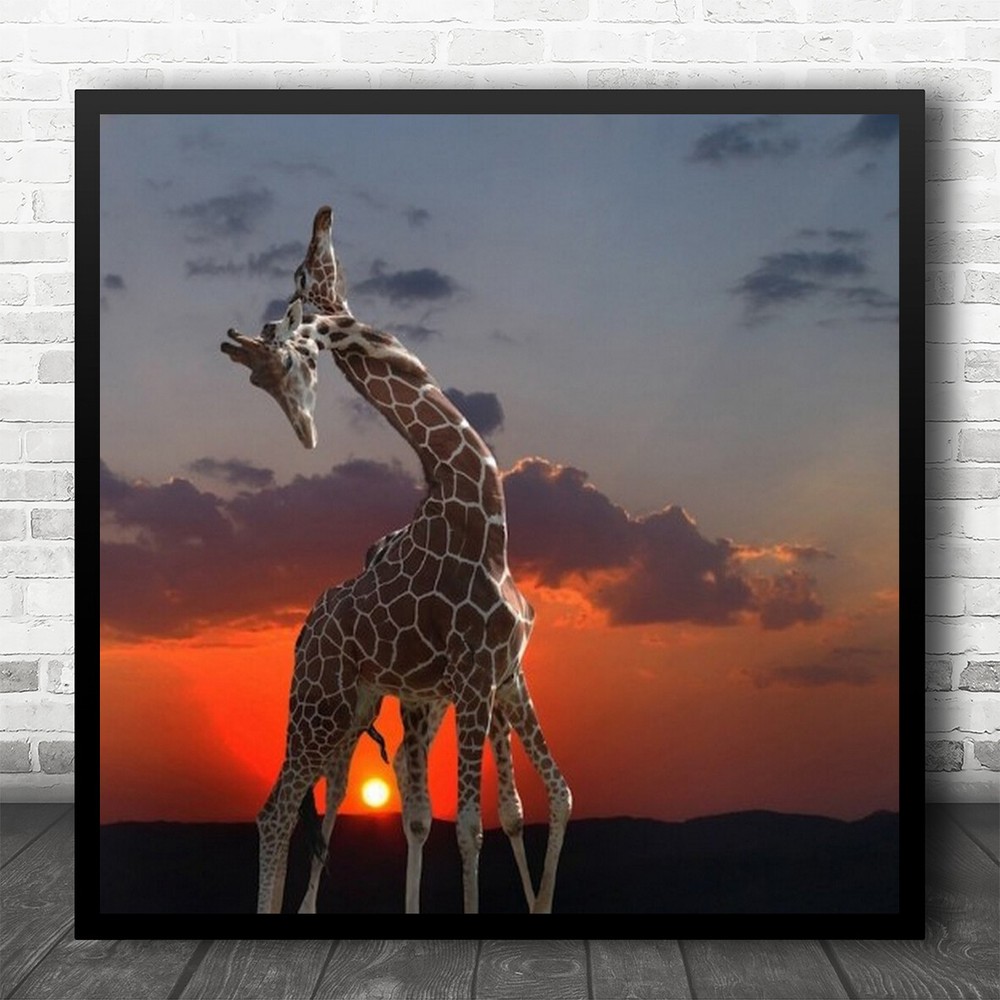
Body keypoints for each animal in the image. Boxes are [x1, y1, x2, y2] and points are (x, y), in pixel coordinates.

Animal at [221, 207, 571, 915]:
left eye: (282, 366)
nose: (306, 433)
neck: (482, 516)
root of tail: (303, 635)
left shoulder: (505, 674)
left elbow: (550, 797)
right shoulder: (473, 675)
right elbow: (469, 826)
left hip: (357, 708)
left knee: (322, 803)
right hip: (321, 701)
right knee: (277, 809)